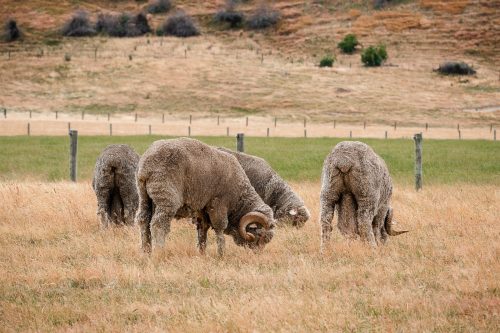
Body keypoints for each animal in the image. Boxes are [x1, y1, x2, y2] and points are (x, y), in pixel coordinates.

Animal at [135, 137, 276, 254]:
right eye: (260, 236)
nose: (257, 254)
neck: (239, 199)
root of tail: (146, 166)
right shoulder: (218, 204)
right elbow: (220, 229)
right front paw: (221, 253)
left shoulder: (202, 209)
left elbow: (202, 231)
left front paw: (202, 253)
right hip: (166, 197)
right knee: (158, 225)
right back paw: (159, 251)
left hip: (144, 196)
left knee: (143, 220)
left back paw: (146, 252)